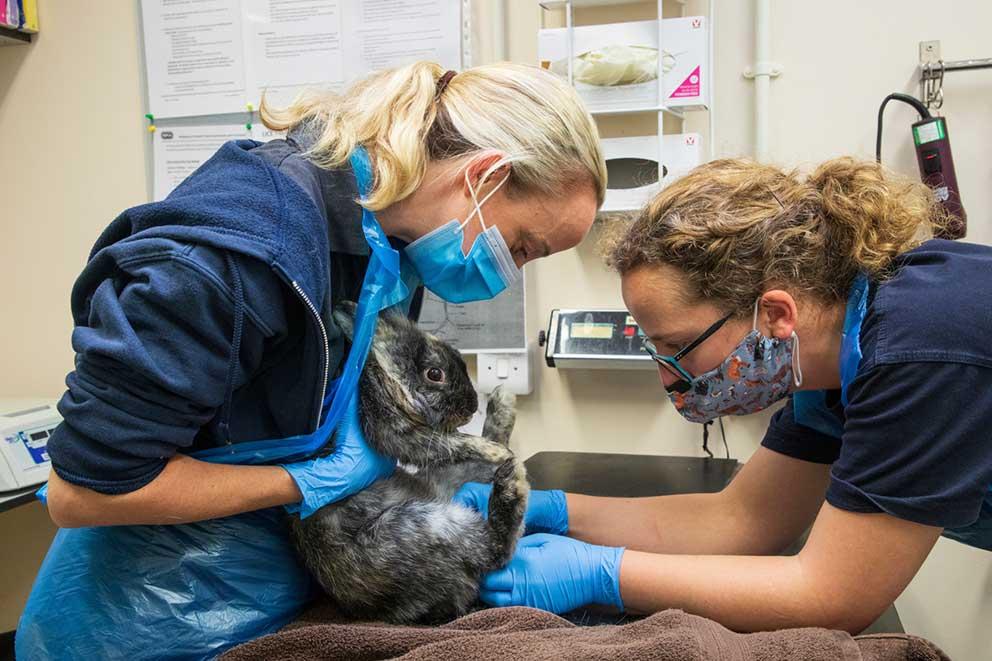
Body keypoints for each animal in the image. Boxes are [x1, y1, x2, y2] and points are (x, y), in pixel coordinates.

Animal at [290, 304, 532, 624]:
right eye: (434, 373)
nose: (471, 407)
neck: (382, 375)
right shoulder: (398, 434)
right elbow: (452, 441)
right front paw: (491, 451)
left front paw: (496, 444)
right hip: (424, 528)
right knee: (494, 550)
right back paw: (511, 476)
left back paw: (504, 410)